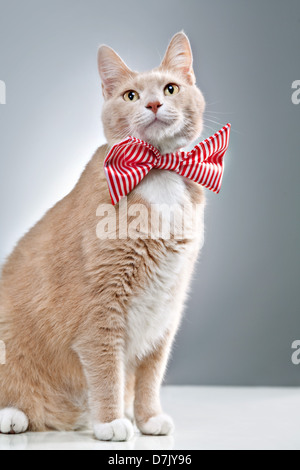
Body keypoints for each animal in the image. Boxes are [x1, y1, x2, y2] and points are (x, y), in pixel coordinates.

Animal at [0, 33, 205, 440]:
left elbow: (150, 372)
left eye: (170, 89)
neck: (158, 172)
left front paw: (147, 417)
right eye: (130, 95)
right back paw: (12, 414)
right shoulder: (101, 306)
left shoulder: (167, 306)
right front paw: (110, 420)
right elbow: (107, 367)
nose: (154, 103)